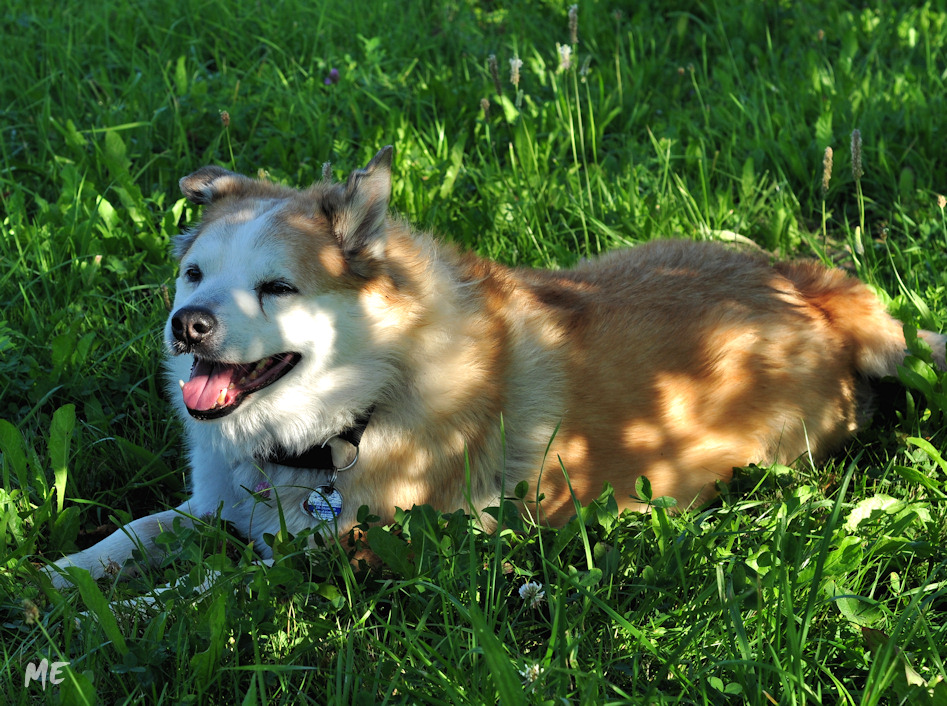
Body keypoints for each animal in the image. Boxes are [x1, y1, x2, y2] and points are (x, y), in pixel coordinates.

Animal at [48, 143, 947, 584]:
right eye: (195, 275)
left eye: (276, 288)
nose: (188, 326)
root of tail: (816, 297)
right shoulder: (214, 505)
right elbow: (128, 536)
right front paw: (54, 580)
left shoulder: (353, 556)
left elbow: (202, 591)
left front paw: (80, 634)